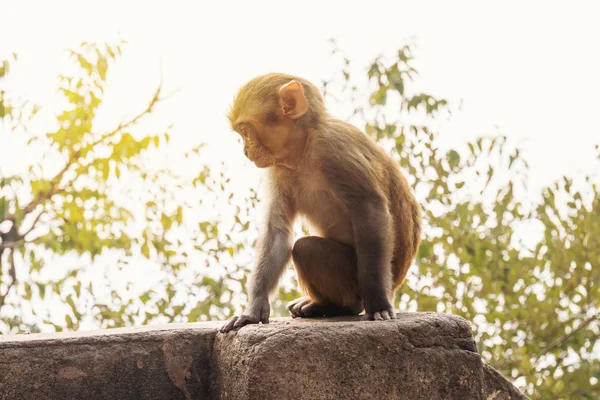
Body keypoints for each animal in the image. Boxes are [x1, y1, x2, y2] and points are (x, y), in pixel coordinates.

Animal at [220, 73, 422, 332]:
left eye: (245, 131)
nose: (246, 151)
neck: (304, 147)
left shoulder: (336, 147)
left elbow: (371, 210)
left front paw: (378, 303)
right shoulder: (278, 169)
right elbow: (277, 231)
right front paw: (253, 310)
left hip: (353, 281)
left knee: (307, 248)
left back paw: (342, 306)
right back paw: (320, 306)